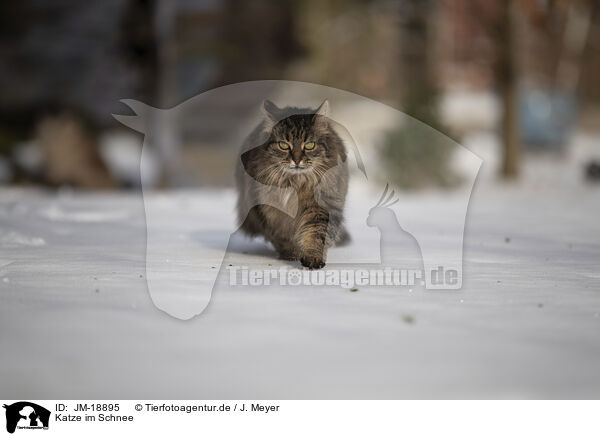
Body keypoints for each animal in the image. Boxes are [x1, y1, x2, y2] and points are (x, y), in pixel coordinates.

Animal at [233, 99, 350, 270]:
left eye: (309, 145)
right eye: (283, 145)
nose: (296, 160)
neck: (296, 183)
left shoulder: (320, 206)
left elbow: (316, 234)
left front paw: (313, 257)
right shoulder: (272, 212)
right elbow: (282, 237)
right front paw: (292, 254)